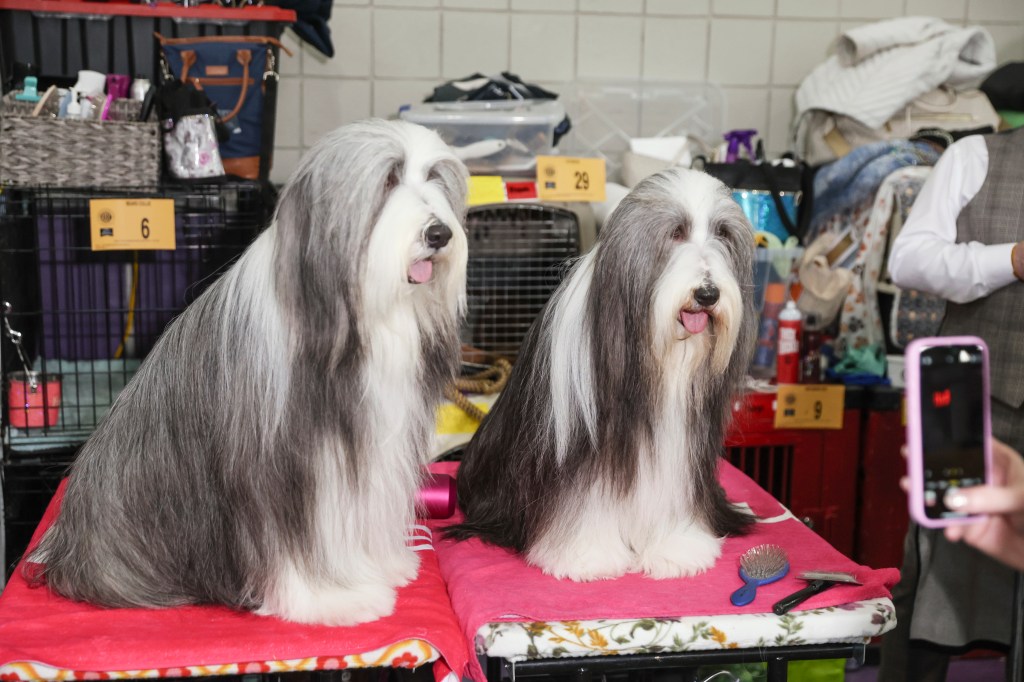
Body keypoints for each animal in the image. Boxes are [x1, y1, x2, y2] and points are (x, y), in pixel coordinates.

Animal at [25, 120, 468, 622]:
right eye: (390, 178)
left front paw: (383, 565)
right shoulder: (277, 467)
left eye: (434, 178)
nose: (439, 234)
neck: (358, 310)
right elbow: (289, 544)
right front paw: (333, 598)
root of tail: (65, 549)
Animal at [450, 166, 761, 577]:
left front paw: (675, 547)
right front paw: (586, 555)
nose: (708, 294)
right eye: (676, 232)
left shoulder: (676, 441)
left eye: (722, 233)